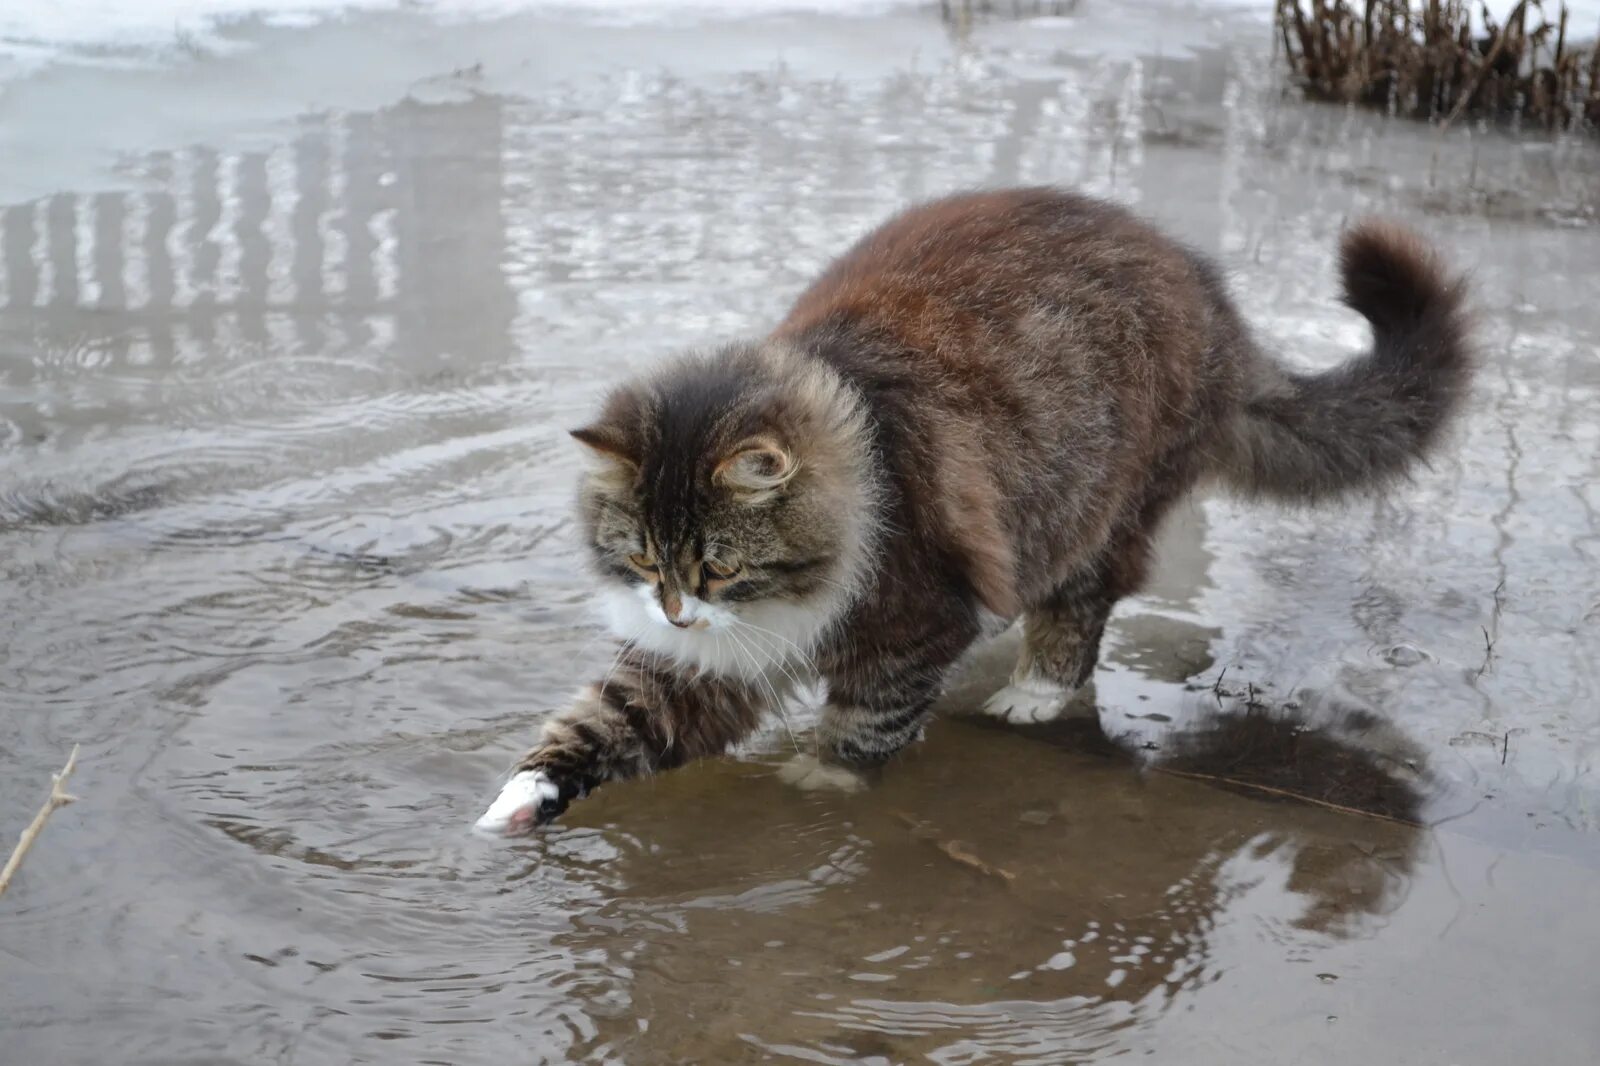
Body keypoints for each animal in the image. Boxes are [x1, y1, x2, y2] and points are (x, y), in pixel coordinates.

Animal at [467, 186, 1465, 832]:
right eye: (644, 562)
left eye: (719, 566)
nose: (675, 610)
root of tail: (1211, 298)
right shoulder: (701, 664)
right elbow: (608, 720)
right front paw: (519, 801)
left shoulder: (913, 617)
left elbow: (866, 722)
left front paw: (821, 783)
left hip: (1100, 506)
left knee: (1079, 612)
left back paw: (1033, 691)